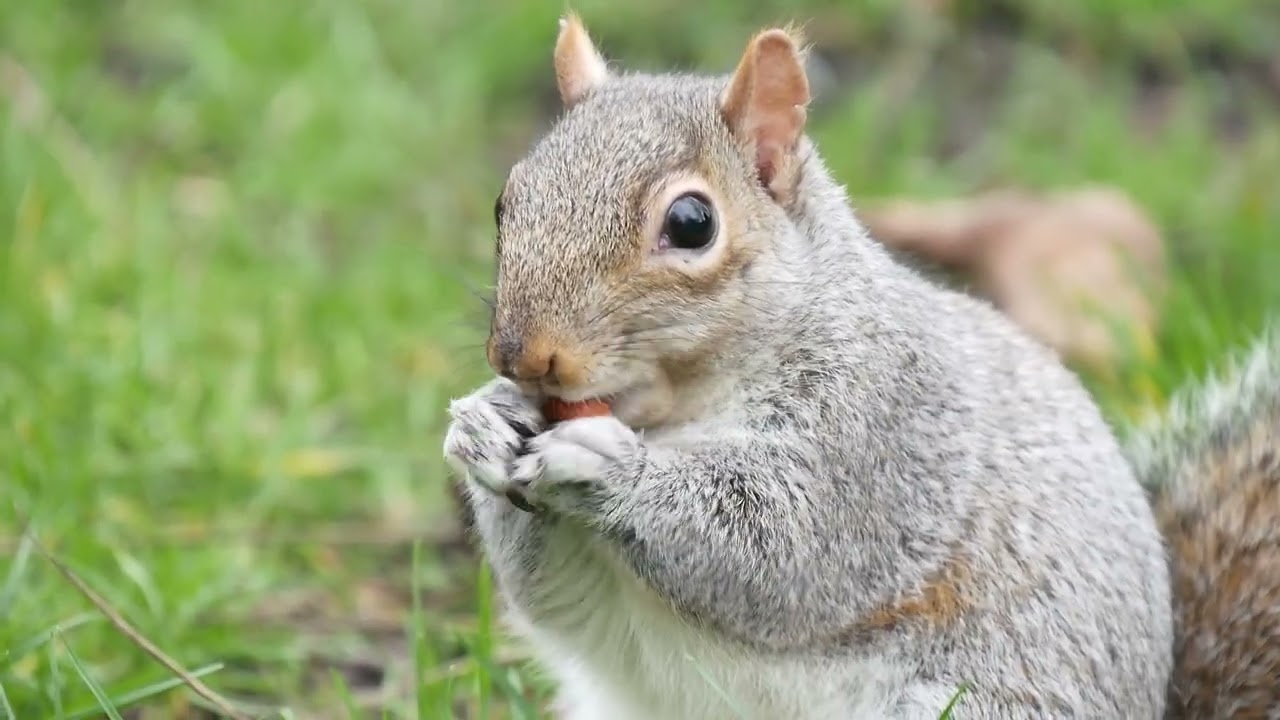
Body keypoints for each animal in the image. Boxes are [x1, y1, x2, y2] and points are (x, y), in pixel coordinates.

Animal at [443, 15, 1280, 720]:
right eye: (507, 199)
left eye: (691, 223)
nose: (522, 354)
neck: (680, 412)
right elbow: (553, 596)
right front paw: (483, 424)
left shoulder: (882, 432)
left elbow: (782, 546)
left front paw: (606, 467)